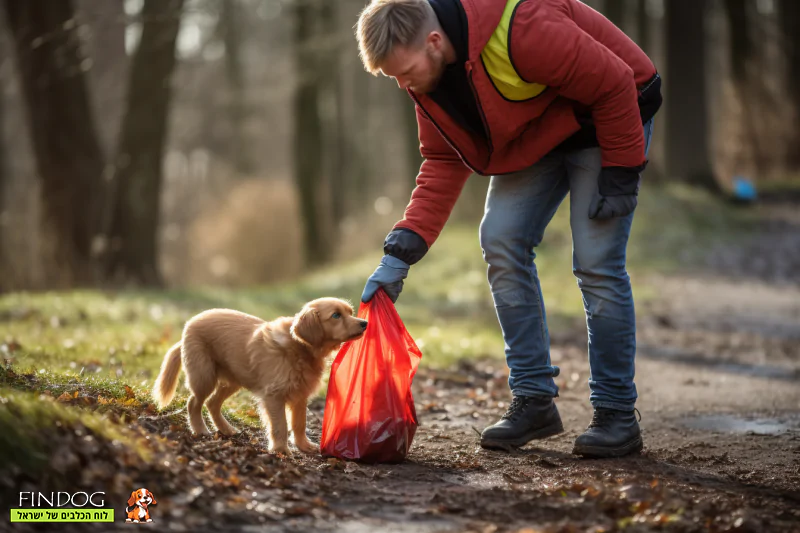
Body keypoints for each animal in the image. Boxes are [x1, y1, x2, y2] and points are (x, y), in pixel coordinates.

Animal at [152, 298, 368, 450]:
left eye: (350, 312)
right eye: (336, 316)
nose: (364, 323)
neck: (299, 347)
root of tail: (188, 325)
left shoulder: (300, 396)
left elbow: (299, 424)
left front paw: (304, 446)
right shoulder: (274, 396)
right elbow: (280, 426)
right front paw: (281, 450)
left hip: (232, 380)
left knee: (212, 403)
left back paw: (227, 430)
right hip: (204, 376)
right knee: (193, 403)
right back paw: (200, 430)